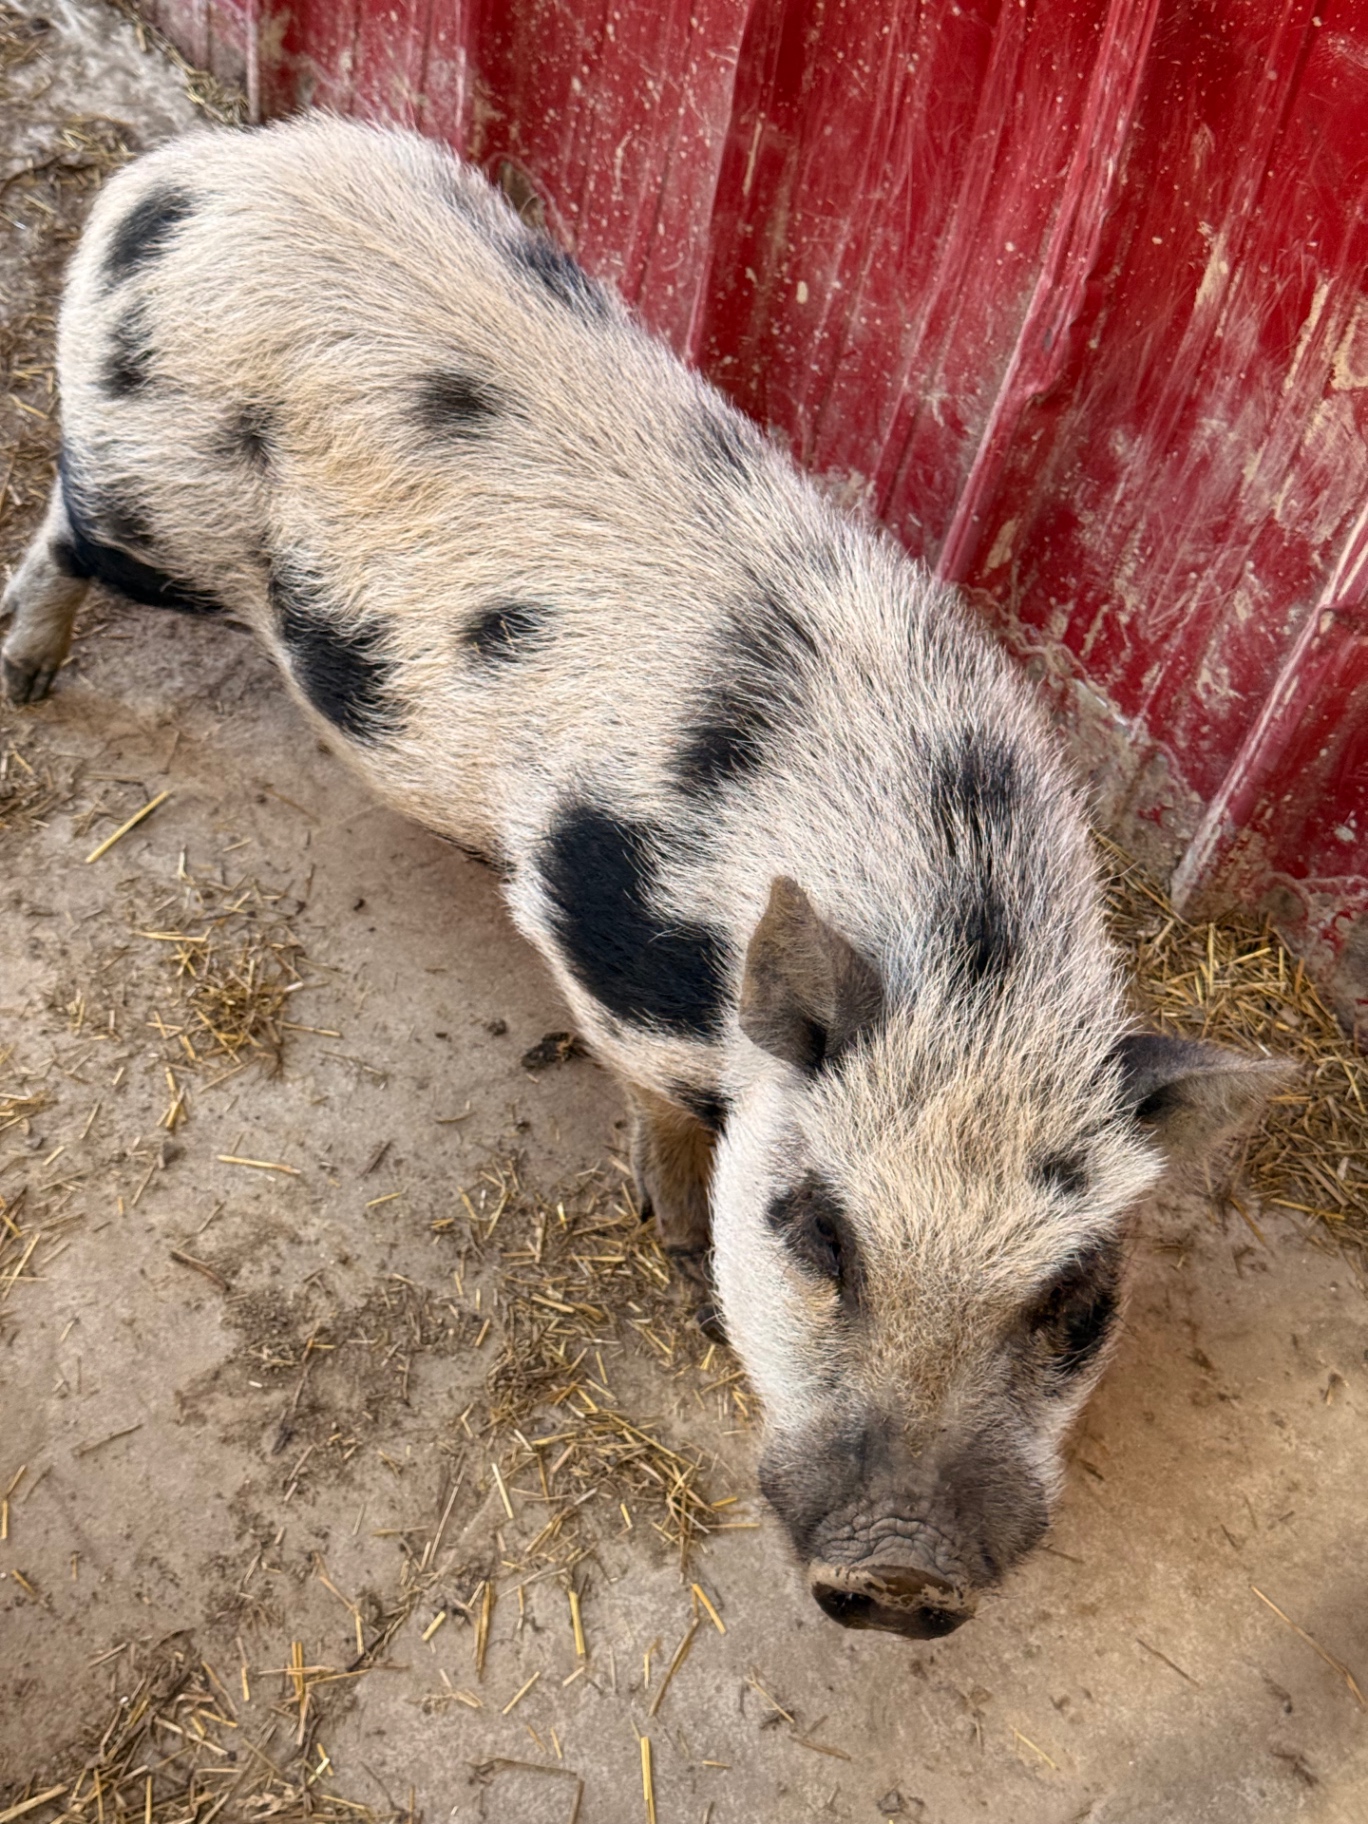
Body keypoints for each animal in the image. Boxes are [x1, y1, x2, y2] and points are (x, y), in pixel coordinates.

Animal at [0, 116, 1288, 1639]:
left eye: (1077, 1294)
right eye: (818, 1234)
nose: (903, 1570)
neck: (958, 954)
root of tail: (186, 168)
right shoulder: (592, 923)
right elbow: (657, 1096)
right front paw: (670, 1232)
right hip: (148, 493)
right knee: (58, 522)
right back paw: (24, 678)